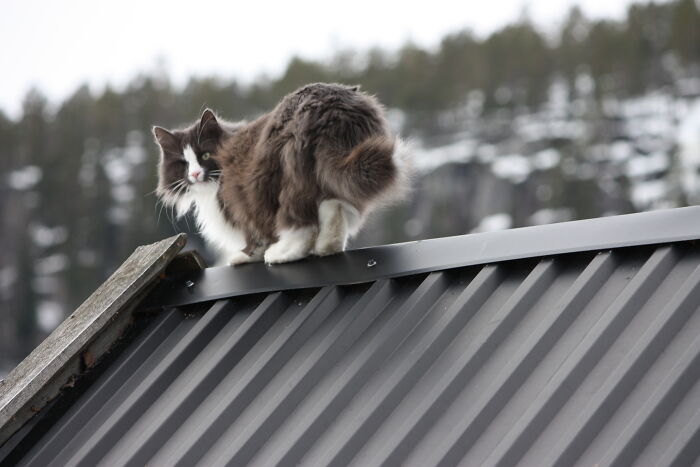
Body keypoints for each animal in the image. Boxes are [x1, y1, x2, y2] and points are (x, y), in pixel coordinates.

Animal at [153, 82, 410, 266]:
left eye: (205, 155)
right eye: (183, 163)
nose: (195, 174)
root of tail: (331, 107)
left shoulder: (239, 197)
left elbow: (253, 233)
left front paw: (246, 255)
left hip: (285, 176)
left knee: (301, 225)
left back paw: (282, 254)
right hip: (323, 175)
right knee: (333, 206)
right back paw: (328, 247)